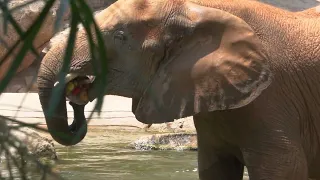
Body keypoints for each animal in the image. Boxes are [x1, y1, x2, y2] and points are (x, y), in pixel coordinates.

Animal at [38, 0, 320, 179]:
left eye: (120, 37)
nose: (77, 87)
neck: (196, 9)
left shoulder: (272, 98)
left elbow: (285, 167)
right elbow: (214, 168)